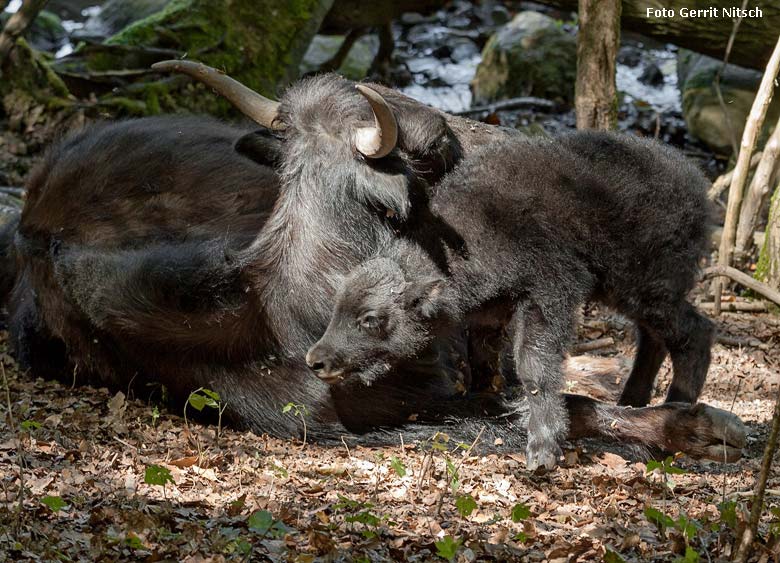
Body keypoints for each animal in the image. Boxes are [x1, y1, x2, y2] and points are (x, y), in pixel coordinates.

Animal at [308, 132, 716, 472]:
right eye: (339, 307)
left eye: (371, 318)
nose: (317, 360)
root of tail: (697, 185)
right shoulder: (489, 316)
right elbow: (484, 366)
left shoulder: (548, 297)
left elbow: (534, 368)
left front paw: (542, 451)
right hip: (628, 293)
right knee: (654, 339)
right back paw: (635, 402)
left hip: (645, 288)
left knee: (695, 332)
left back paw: (677, 413)